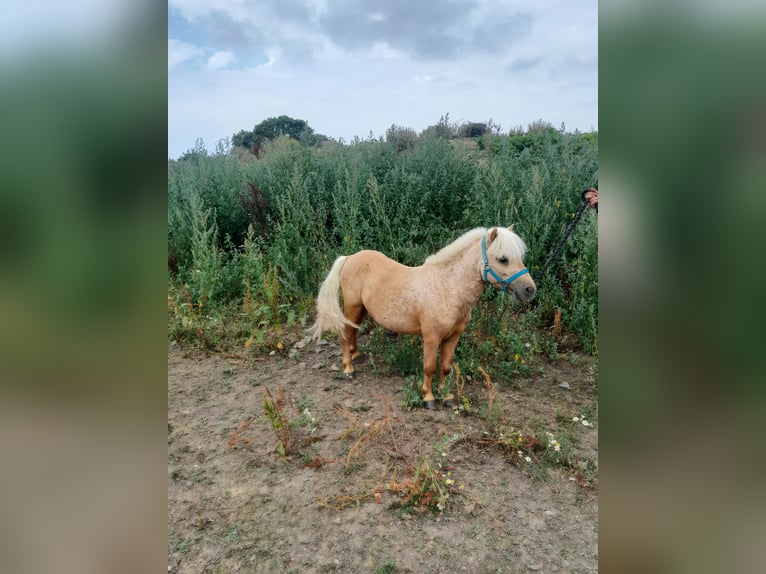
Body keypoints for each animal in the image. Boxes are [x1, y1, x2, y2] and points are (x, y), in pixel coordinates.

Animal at [308, 227, 536, 412]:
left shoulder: (453, 337)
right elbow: (430, 367)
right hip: (352, 306)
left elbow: (445, 366)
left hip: (362, 309)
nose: (529, 290)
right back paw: (348, 368)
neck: (448, 287)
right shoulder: (431, 338)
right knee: (345, 333)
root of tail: (350, 257)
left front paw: (447, 396)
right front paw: (429, 398)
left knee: (352, 331)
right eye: (503, 258)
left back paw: (356, 356)